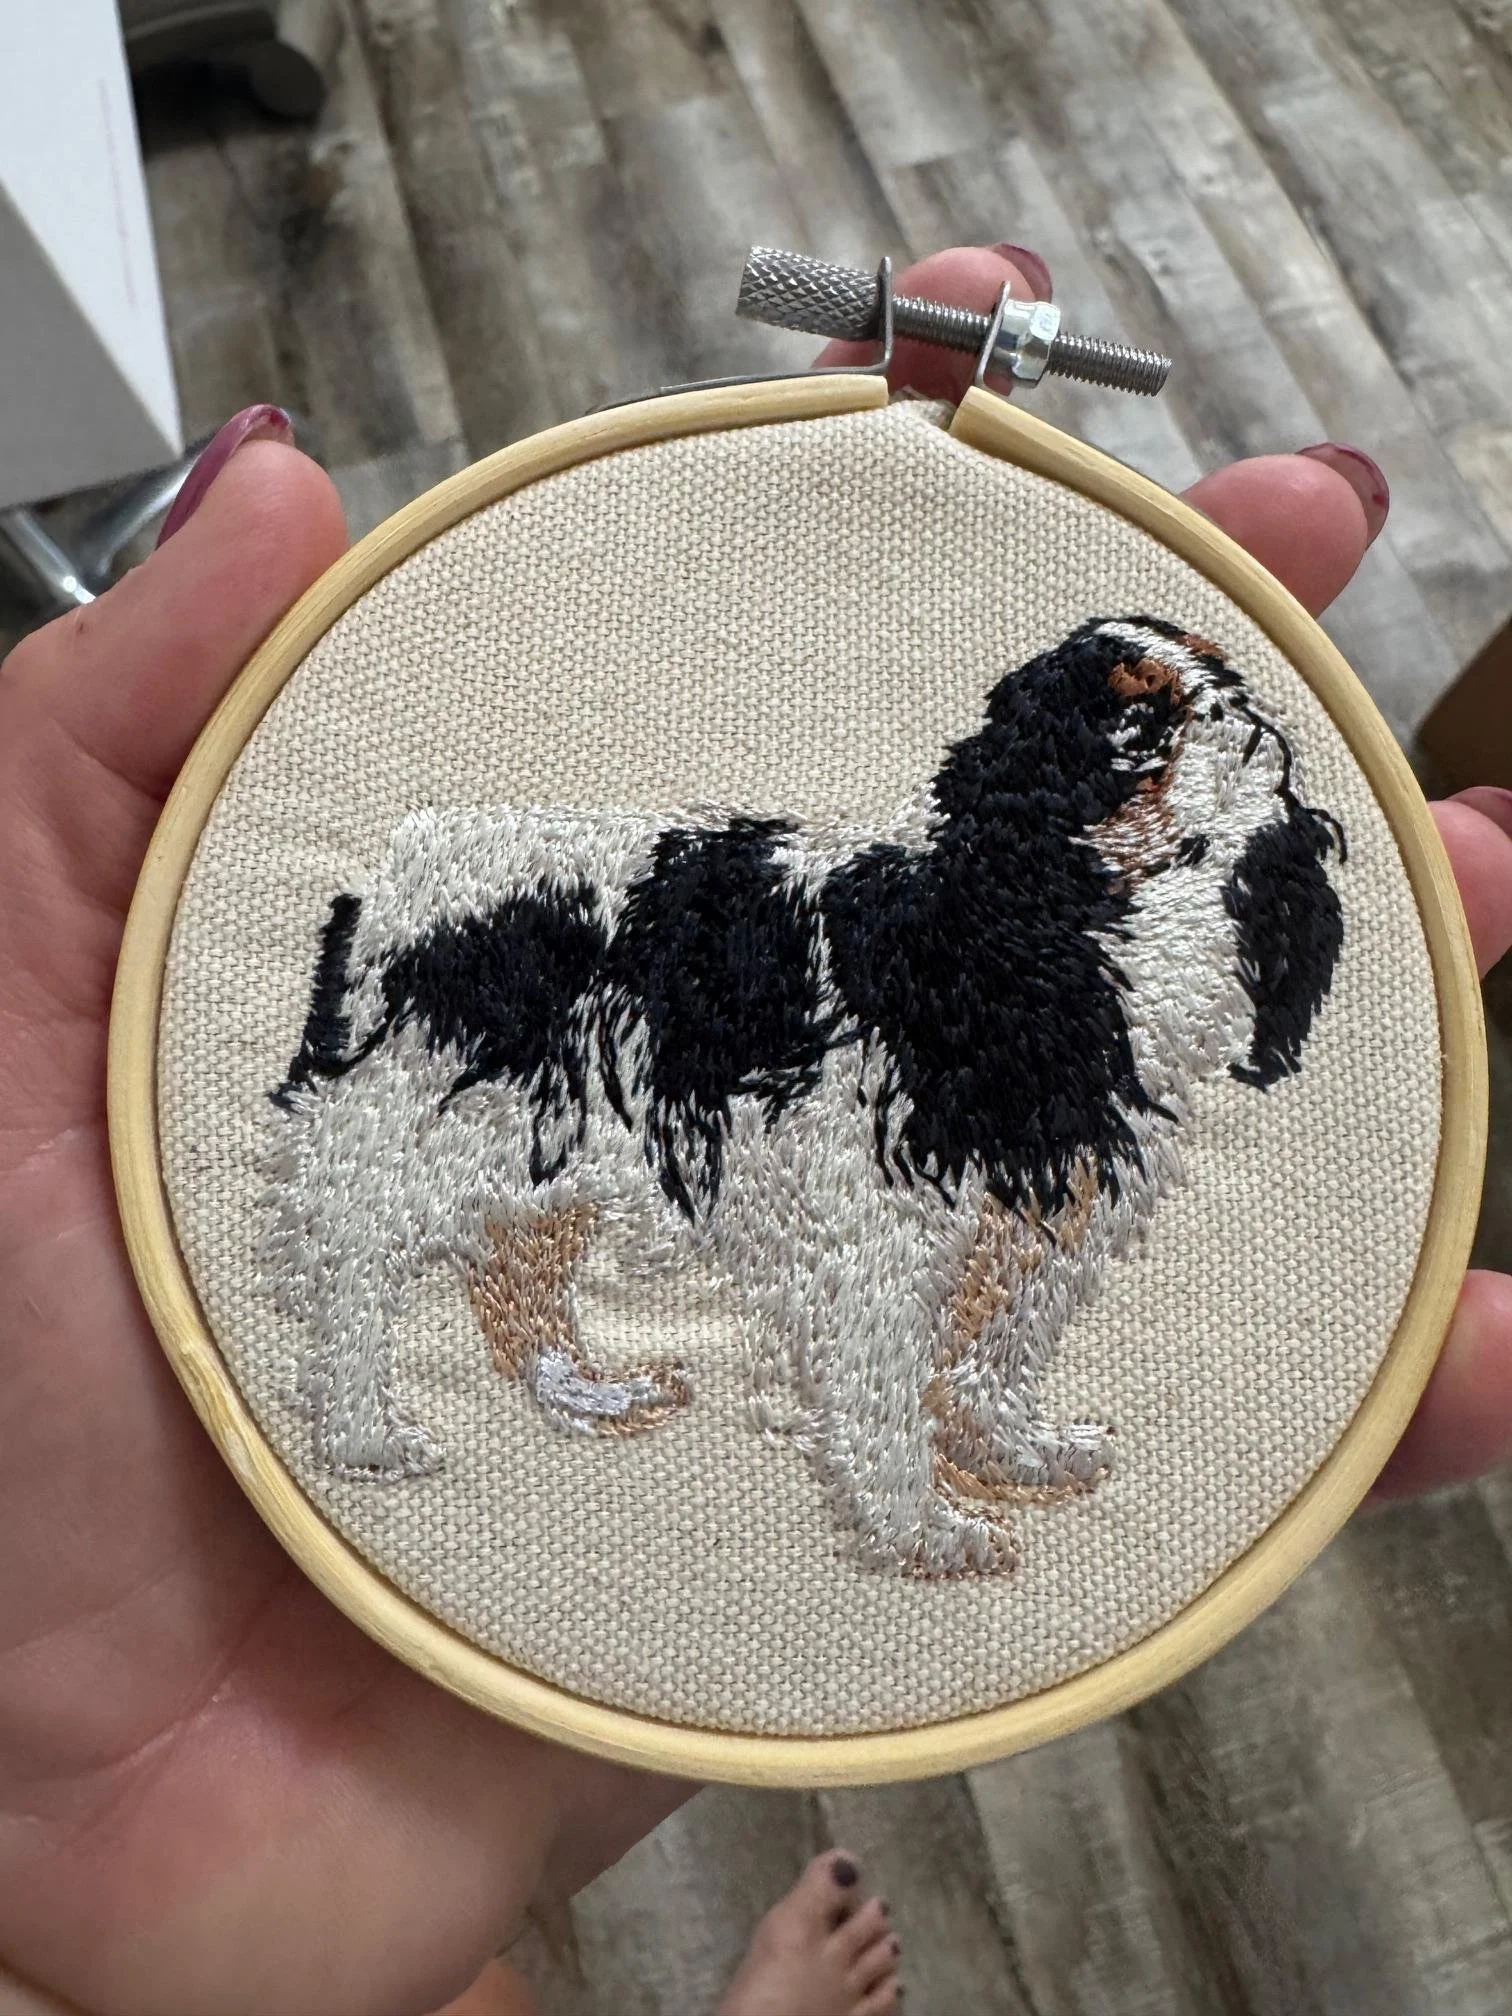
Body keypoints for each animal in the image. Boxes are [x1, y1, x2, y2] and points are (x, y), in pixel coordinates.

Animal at [261, 615, 1344, 1577]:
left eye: (1224, 683)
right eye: (1139, 725)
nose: (1246, 718)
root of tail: (395, 875)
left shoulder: (1036, 1220)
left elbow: (999, 1347)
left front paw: (1011, 1453)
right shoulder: (881, 1244)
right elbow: (887, 1399)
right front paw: (923, 1534)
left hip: (546, 1145)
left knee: (516, 1272)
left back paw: (589, 1397)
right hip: (423, 1127)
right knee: (354, 1280)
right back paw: (364, 1436)